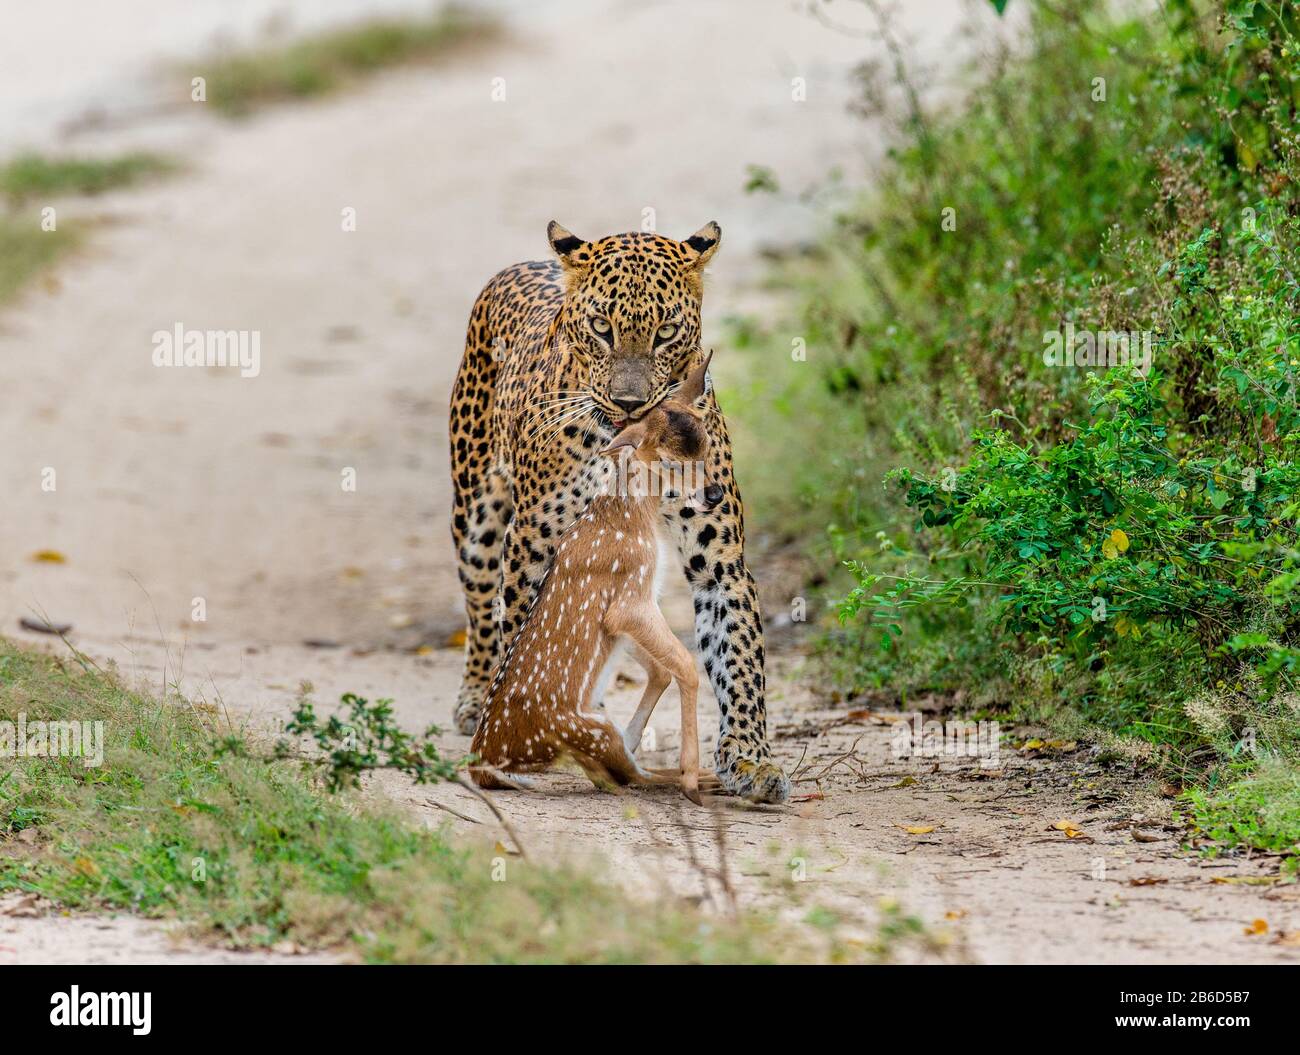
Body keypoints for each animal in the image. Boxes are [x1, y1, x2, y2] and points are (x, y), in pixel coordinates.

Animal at [447, 218, 790, 805]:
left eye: (666, 332)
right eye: (601, 328)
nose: (629, 402)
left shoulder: (720, 558)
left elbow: (739, 652)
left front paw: (750, 757)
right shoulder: (535, 543)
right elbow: (528, 640)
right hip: (476, 520)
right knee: (483, 610)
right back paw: (477, 700)